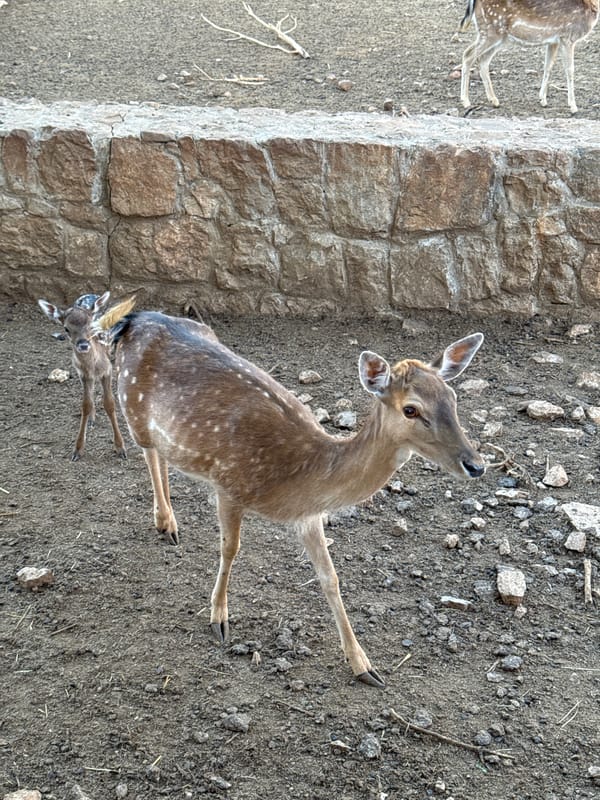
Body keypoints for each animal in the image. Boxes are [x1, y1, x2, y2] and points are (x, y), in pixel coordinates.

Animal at [38, 291, 127, 461]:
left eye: (91, 325)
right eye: (66, 328)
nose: (83, 345)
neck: (93, 365)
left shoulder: (107, 370)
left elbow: (110, 403)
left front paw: (120, 447)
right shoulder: (83, 374)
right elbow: (86, 404)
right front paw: (78, 450)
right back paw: (92, 419)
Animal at [95, 297, 485, 688]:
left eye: (452, 397)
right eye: (411, 409)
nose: (476, 464)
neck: (300, 477)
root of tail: (133, 319)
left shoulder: (309, 517)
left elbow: (331, 578)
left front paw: (363, 665)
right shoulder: (229, 485)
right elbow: (230, 549)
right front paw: (218, 618)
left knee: (161, 455)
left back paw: (169, 524)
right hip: (132, 405)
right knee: (148, 452)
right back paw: (165, 522)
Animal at [459, 0, 599, 113]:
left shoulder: (553, 40)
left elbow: (548, 66)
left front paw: (542, 100)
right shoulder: (568, 37)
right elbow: (570, 70)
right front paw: (573, 107)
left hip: (499, 36)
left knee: (483, 59)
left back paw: (494, 100)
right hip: (490, 29)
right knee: (468, 54)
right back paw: (466, 101)